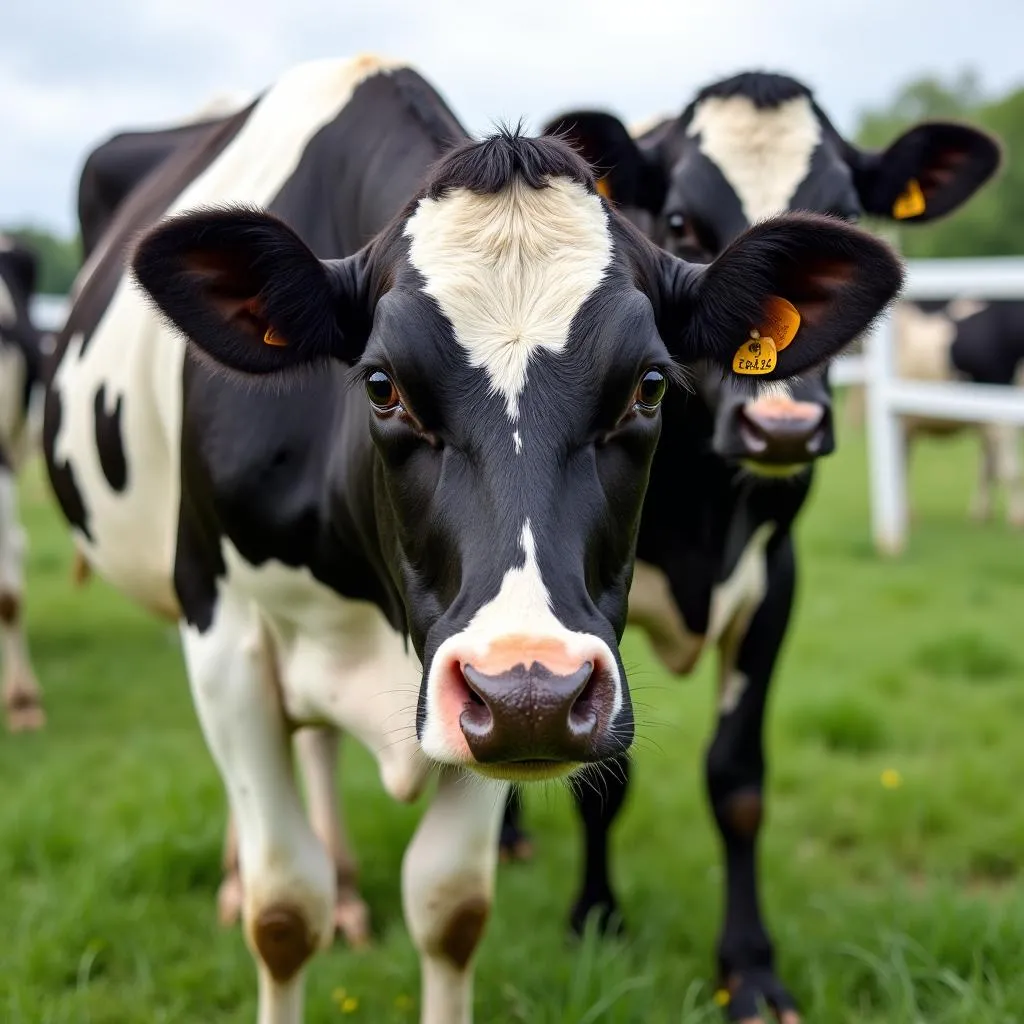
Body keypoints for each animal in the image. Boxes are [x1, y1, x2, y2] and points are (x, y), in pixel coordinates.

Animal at [44, 58, 901, 1024]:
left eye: (649, 387)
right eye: (380, 386)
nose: (530, 691)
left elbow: (452, 906)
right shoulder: (224, 635)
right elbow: (283, 911)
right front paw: (270, 899)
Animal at [497, 74, 999, 1024]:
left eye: (847, 218)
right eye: (681, 224)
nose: (785, 425)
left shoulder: (775, 580)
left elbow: (737, 784)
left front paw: (750, 970)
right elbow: (600, 772)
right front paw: (596, 919)